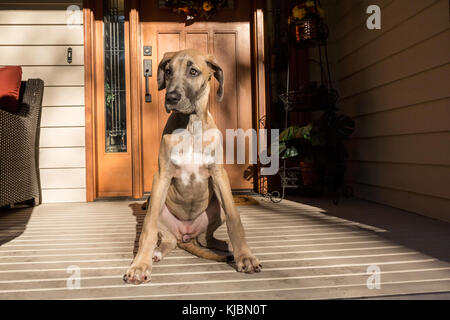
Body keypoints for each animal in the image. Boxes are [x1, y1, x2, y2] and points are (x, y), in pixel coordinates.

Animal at [125, 48, 262, 284]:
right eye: (168, 71)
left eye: (193, 71)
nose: (171, 97)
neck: (190, 126)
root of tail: (187, 235)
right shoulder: (161, 177)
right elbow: (148, 227)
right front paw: (140, 265)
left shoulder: (220, 175)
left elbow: (235, 220)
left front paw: (245, 256)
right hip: (156, 203)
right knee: (168, 239)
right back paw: (156, 252)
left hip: (216, 207)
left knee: (207, 238)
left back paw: (226, 247)